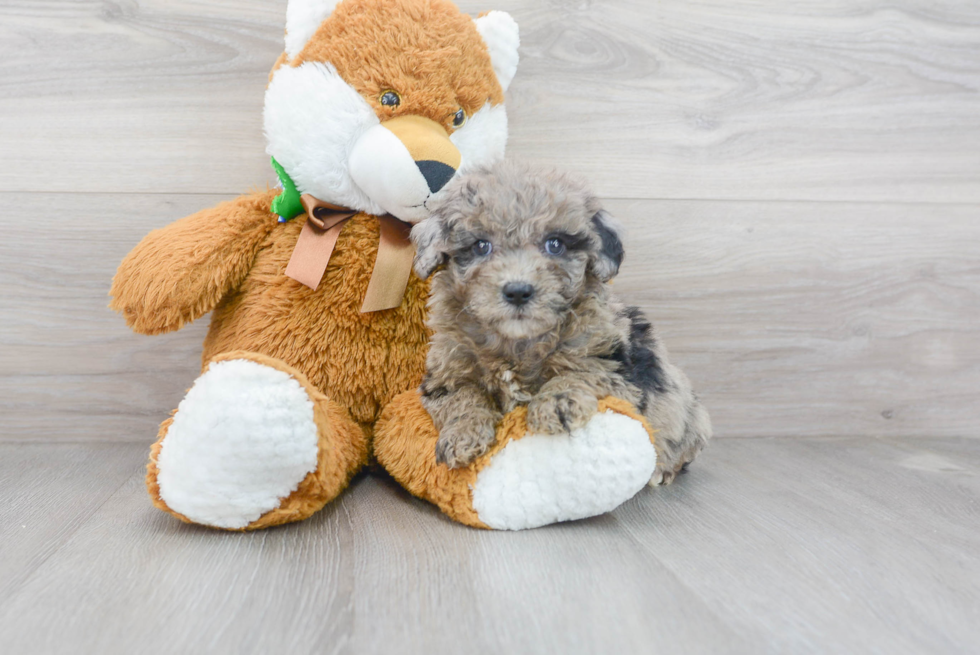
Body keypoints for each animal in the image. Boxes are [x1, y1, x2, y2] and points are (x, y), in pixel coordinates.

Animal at [410, 161, 708, 484]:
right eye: (480, 246)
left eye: (555, 244)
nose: (518, 291)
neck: (518, 343)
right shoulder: (445, 372)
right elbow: (462, 396)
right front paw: (463, 433)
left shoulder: (617, 368)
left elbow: (584, 371)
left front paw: (557, 402)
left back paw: (664, 470)